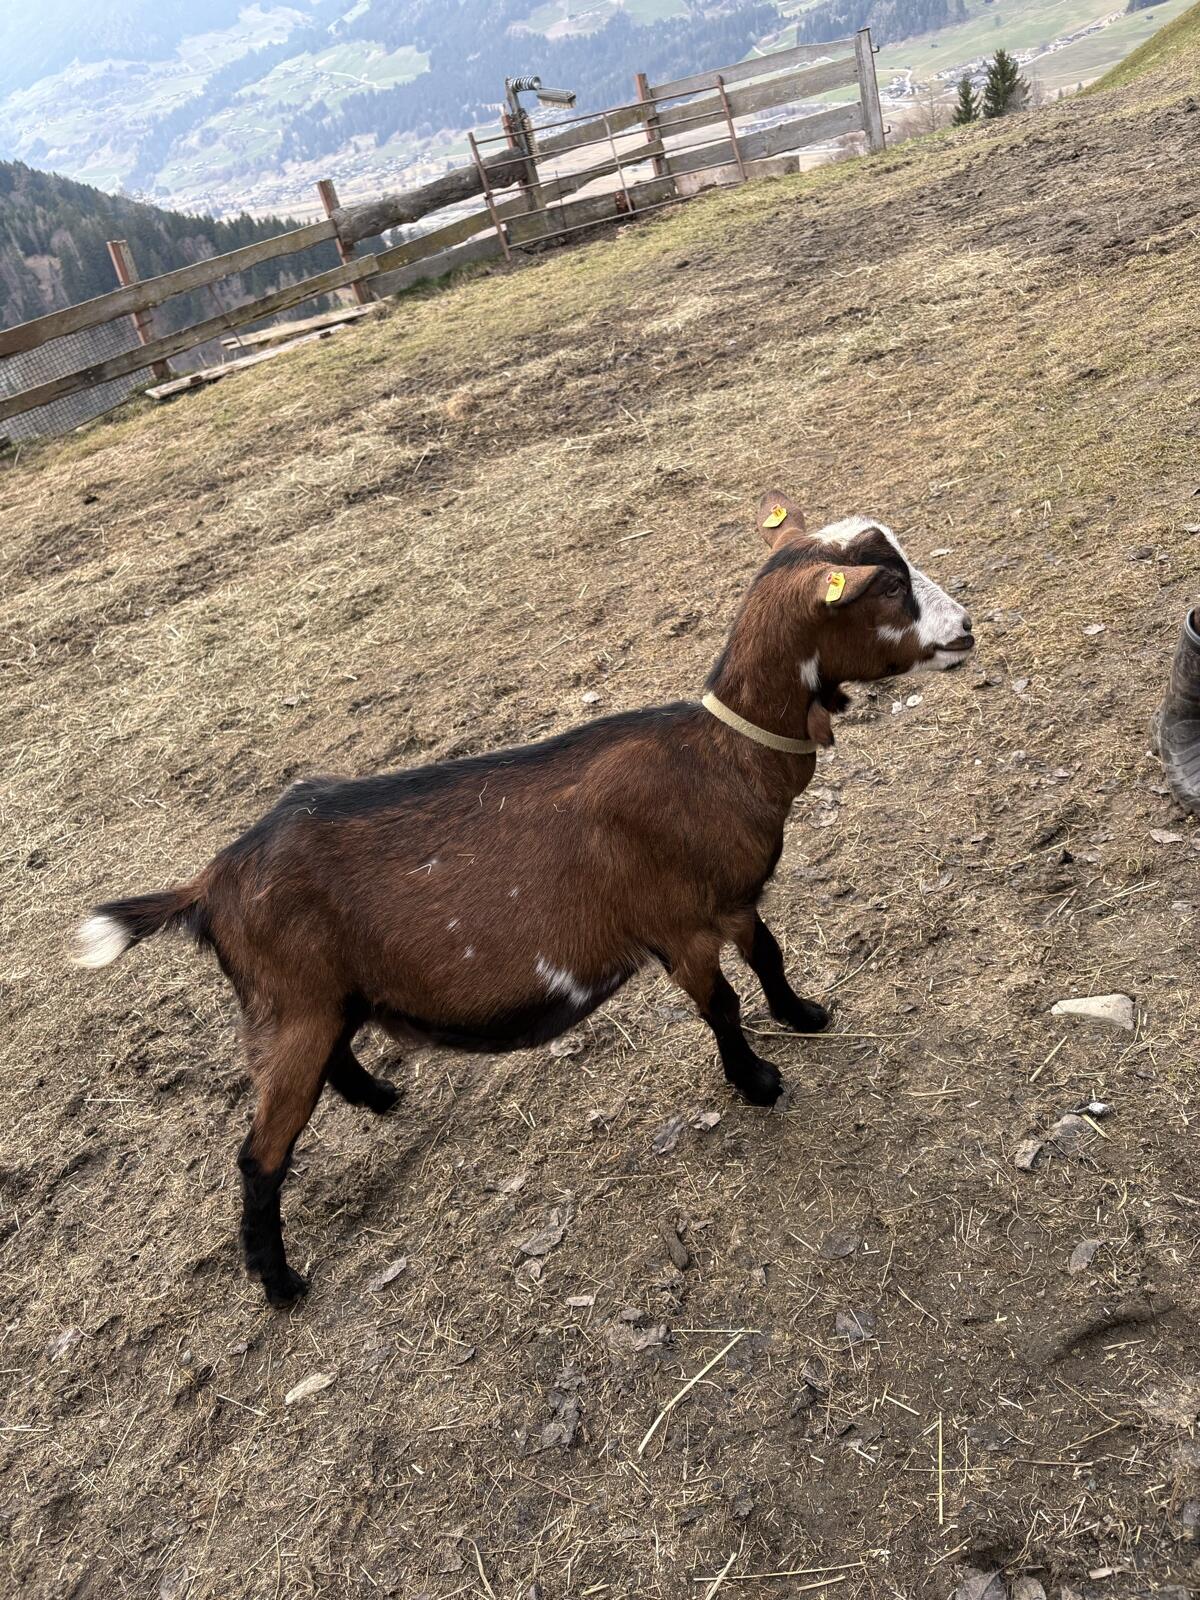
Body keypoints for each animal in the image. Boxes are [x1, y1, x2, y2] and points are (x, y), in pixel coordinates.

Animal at [74, 491, 974, 1307]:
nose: (966, 627)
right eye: (888, 586)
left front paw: (804, 1014)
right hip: (289, 1003)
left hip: (319, 999)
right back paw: (279, 1282)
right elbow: (719, 1006)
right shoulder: (678, 925)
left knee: (332, 1054)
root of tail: (211, 882)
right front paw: (756, 1081)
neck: (716, 756)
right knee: (259, 1155)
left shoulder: (732, 901)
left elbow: (770, 956)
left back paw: (381, 1097)